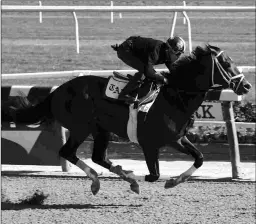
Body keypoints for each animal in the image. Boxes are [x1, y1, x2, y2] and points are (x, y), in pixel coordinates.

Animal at [1, 44, 251, 194]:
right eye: (226, 64)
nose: (247, 86)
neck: (175, 97)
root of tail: (58, 91)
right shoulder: (150, 143)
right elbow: (154, 174)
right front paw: (151, 179)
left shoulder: (177, 139)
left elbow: (199, 158)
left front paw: (173, 181)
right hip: (81, 127)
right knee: (68, 152)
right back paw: (99, 181)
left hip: (100, 129)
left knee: (98, 157)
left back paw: (124, 179)